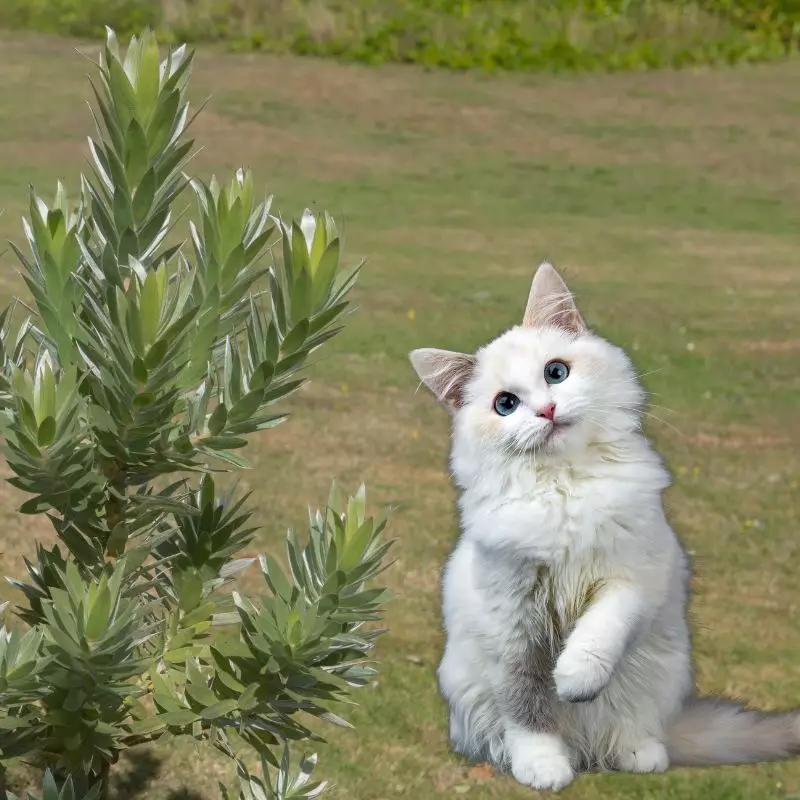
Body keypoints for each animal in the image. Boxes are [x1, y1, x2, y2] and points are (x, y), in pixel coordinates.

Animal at [410, 264, 796, 792]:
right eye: (505, 405)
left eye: (556, 372)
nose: (547, 411)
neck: (565, 486)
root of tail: (589, 751)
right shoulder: (512, 625)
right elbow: (528, 709)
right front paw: (544, 768)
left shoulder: (633, 577)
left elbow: (599, 633)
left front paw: (573, 680)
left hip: (659, 670)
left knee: (635, 727)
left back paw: (639, 754)